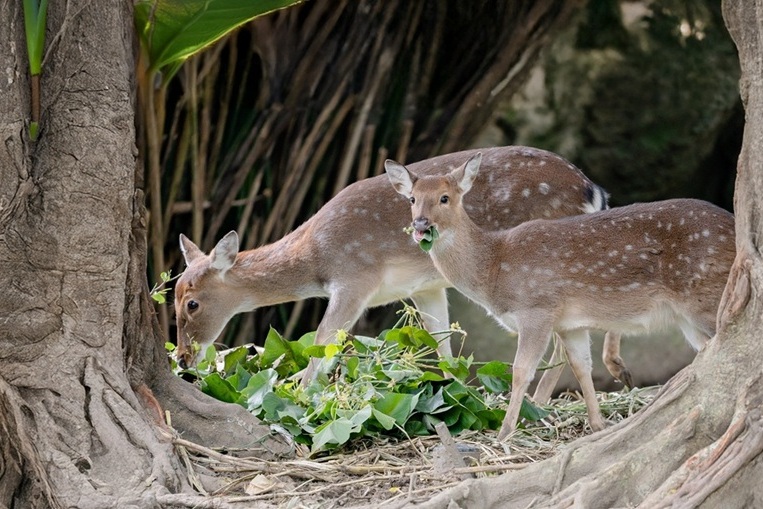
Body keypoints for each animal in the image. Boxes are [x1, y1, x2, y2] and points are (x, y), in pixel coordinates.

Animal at [173, 146, 614, 384]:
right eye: (172, 296)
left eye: (192, 303)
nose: (182, 358)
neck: (315, 255)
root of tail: (592, 190)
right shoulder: (425, 287)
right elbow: (443, 349)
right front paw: (457, 397)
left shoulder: (355, 277)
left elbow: (323, 341)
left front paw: (296, 391)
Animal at [385, 152, 735, 440]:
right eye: (412, 198)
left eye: (444, 198)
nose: (420, 224)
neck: (495, 269)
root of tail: (735, 229)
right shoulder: (570, 324)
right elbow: (581, 366)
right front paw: (597, 425)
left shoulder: (537, 309)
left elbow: (521, 370)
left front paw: (504, 432)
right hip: (688, 319)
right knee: (707, 350)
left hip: (708, 297)